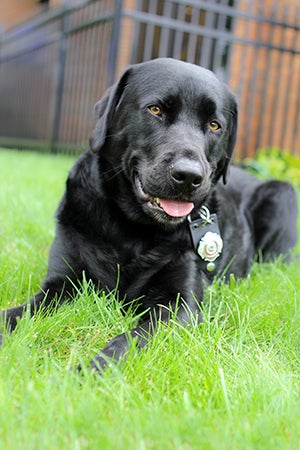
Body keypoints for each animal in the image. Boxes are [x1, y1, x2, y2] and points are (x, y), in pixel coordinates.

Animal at [1, 58, 298, 370]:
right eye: (155, 109)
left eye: (215, 125)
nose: (189, 176)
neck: (133, 230)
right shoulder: (63, 282)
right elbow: (20, 311)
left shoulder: (180, 305)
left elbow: (129, 340)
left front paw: (88, 372)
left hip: (283, 194)